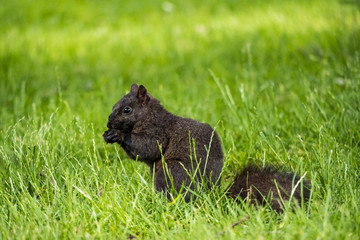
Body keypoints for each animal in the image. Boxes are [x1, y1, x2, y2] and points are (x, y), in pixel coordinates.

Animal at [102, 83, 310, 211]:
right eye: (113, 106)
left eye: (127, 110)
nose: (109, 123)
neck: (149, 116)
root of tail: (210, 193)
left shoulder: (159, 131)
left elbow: (149, 148)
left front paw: (118, 135)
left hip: (172, 171)